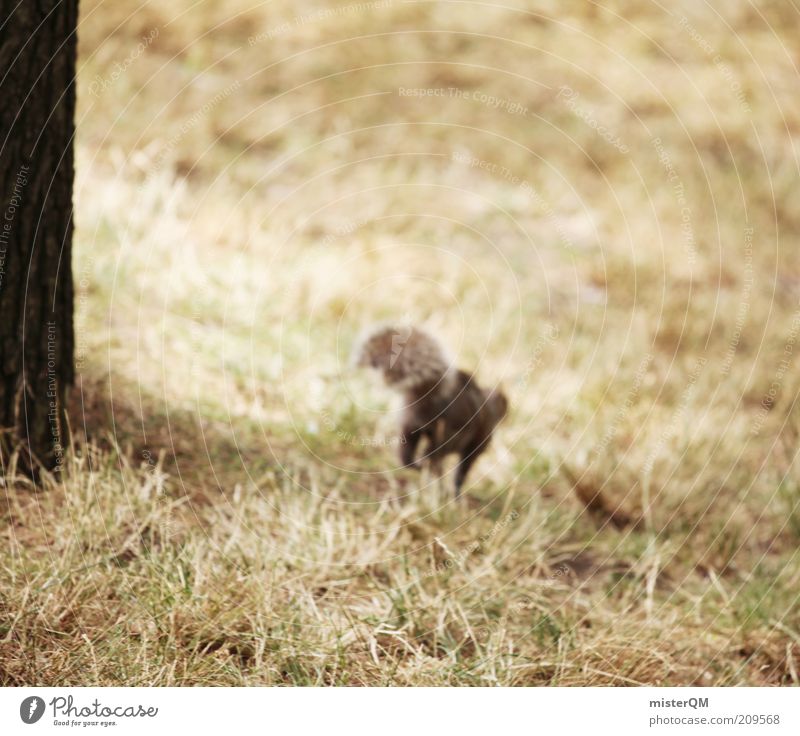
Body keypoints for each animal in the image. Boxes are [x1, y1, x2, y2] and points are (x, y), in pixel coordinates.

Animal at [354, 324, 510, 498]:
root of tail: (425, 401)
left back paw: (416, 466)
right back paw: (427, 469)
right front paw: (456, 493)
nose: (506, 411)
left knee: (407, 453)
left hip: (410, 427)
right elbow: (462, 472)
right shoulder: (478, 443)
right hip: (448, 436)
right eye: (505, 404)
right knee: (431, 455)